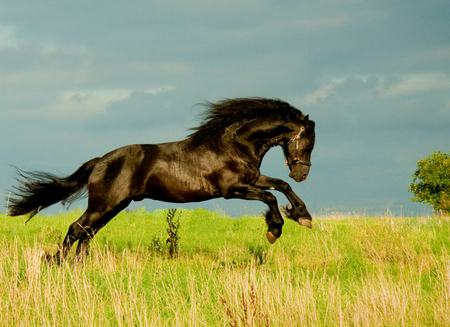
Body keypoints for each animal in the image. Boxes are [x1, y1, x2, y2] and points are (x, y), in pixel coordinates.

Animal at [7, 98, 316, 262]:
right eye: (309, 141)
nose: (301, 174)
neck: (235, 144)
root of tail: (101, 161)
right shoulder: (233, 189)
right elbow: (271, 196)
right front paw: (274, 229)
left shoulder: (254, 179)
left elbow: (281, 186)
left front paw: (302, 216)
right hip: (104, 204)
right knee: (76, 229)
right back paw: (57, 263)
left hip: (113, 207)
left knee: (86, 233)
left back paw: (77, 266)